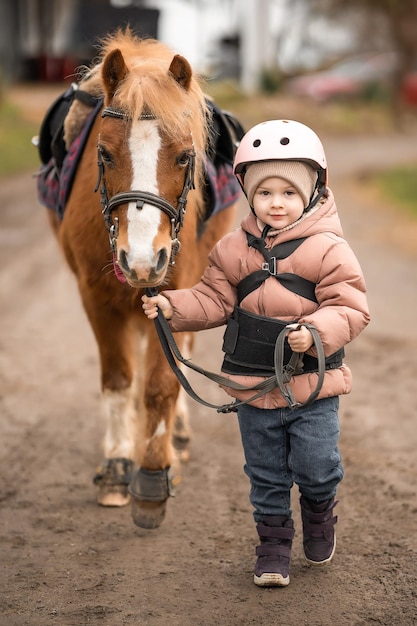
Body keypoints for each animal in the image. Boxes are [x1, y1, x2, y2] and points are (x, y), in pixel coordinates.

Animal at [42, 29, 239, 528]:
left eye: (186, 156)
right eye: (105, 154)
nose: (144, 259)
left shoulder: (175, 289)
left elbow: (162, 384)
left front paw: (153, 474)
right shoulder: (96, 297)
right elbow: (119, 380)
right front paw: (118, 466)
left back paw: (177, 434)